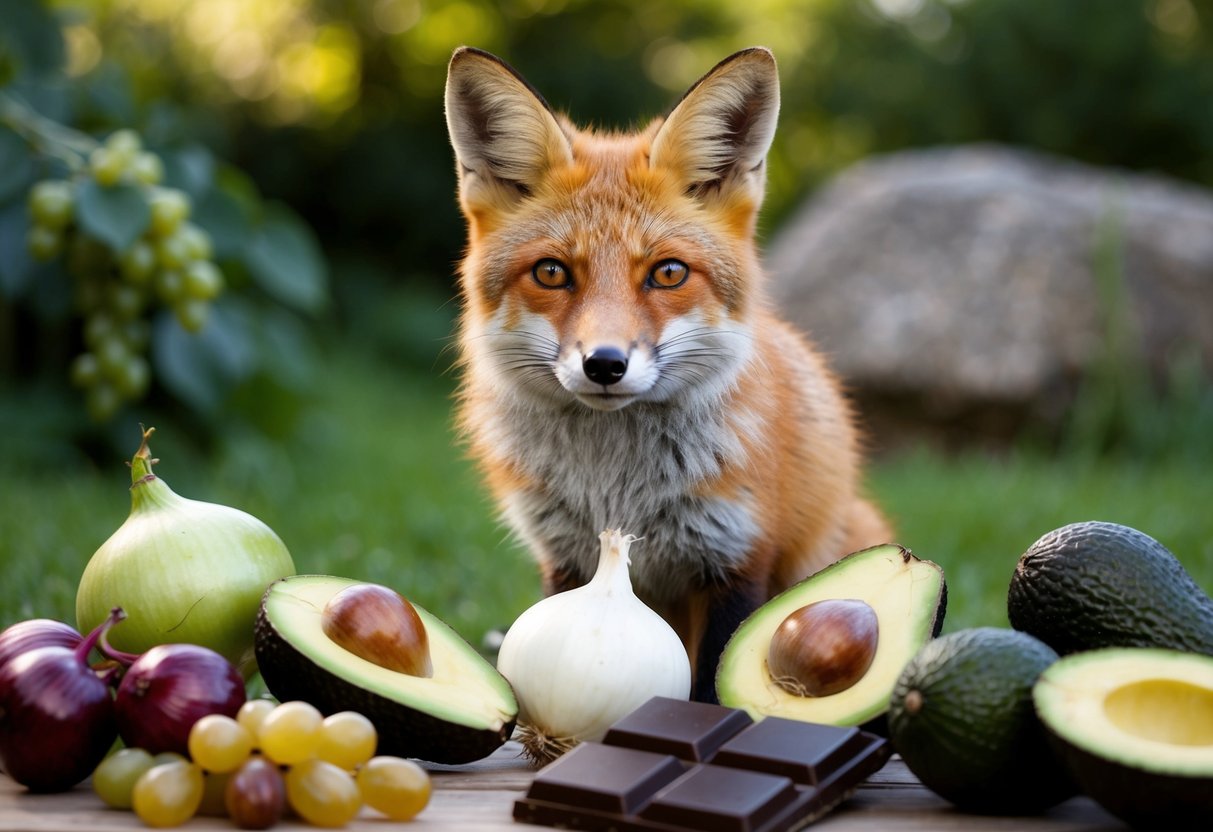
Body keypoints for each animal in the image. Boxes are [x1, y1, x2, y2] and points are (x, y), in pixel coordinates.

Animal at [443, 45, 892, 701]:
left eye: (668, 273)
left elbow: (710, 688)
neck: (617, 490)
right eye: (552, 272)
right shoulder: (564, 558)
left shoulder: (736, 559)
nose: (605, 364)